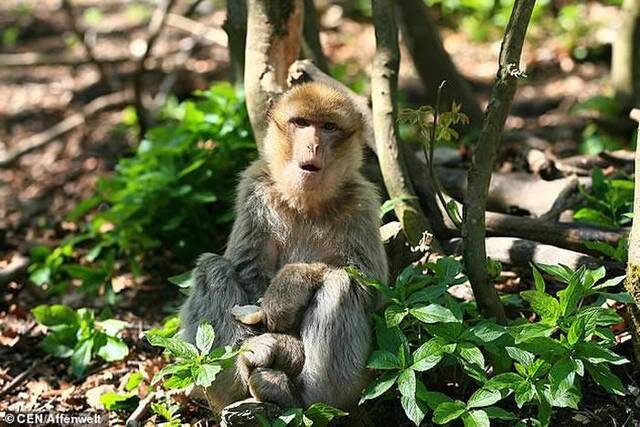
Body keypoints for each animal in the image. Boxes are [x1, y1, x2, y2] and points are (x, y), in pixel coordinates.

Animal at [181, 83, 390, 414]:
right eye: (301, 123)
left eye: (328, 127)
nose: (314, 145)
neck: (305, 202)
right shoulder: (255, 187)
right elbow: (247, 271)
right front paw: (278, 346)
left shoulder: (363, 202)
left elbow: (370, 285)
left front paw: (289, 286)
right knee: (212, 268)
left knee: (341, 284)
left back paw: (304, 397)